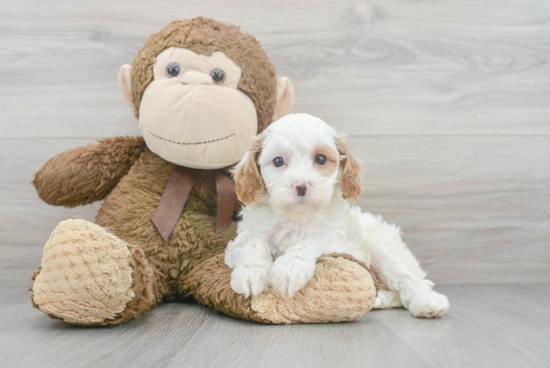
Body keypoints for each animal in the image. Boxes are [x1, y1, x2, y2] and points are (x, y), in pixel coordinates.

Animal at [226, 113, 450, 318]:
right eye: (278, 161)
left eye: (320, 159)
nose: (301, 186)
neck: (297, 216)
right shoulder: (237, 244)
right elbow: (254, 243)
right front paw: (250, 272)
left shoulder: (337, 245)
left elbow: (308, 242)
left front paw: (290, 267)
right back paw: (380, 299)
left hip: (384, 248)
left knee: (408, 279)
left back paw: (427, 301)